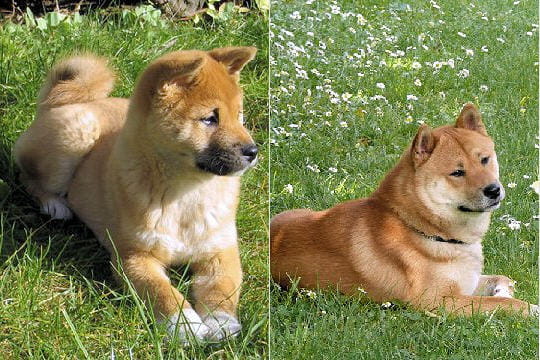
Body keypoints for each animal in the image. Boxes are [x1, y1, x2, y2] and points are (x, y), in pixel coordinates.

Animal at [12, 46, 258, 342]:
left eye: (239, 115)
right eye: (209, 119)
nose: (253, 151)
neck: (187, 194)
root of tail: (59, 104)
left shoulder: (220, 252)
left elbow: (221, 289)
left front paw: (221, 322)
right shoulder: (134, 257)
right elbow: (162, 291)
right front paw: (184, 325)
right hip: (75, 135)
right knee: (27, 177)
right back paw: (54, 204)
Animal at [272, 103, 536, 316]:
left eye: (484, 159)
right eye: (457, 172)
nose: (494, 190)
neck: (425, 227)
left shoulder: (465, 282)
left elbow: (503, 280)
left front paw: (504, 289)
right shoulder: (439, 301)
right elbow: (506, 304)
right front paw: (531, 309)